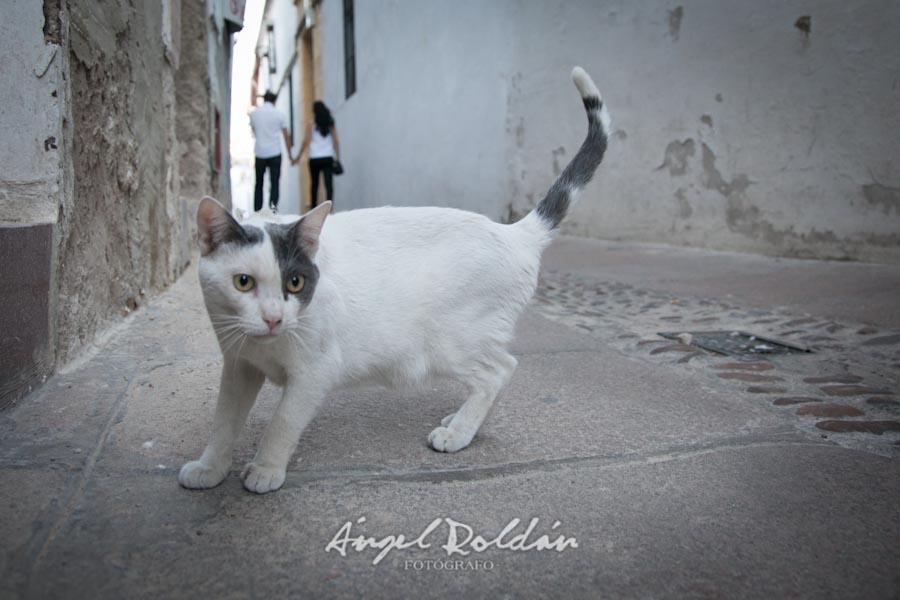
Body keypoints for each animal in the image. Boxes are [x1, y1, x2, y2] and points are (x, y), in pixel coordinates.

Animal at [178, 68, 608, 494]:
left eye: (295, 283)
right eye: (243, 282)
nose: (272, 318)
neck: (266, 347)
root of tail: (513, 233)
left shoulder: (314, 373)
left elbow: (282, 423)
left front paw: (266, 468)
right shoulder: (238, 366)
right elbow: (223, 422)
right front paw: (210, 467)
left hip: (451, 344)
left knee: (500, 370)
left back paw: (458, 433)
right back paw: (461, 421)